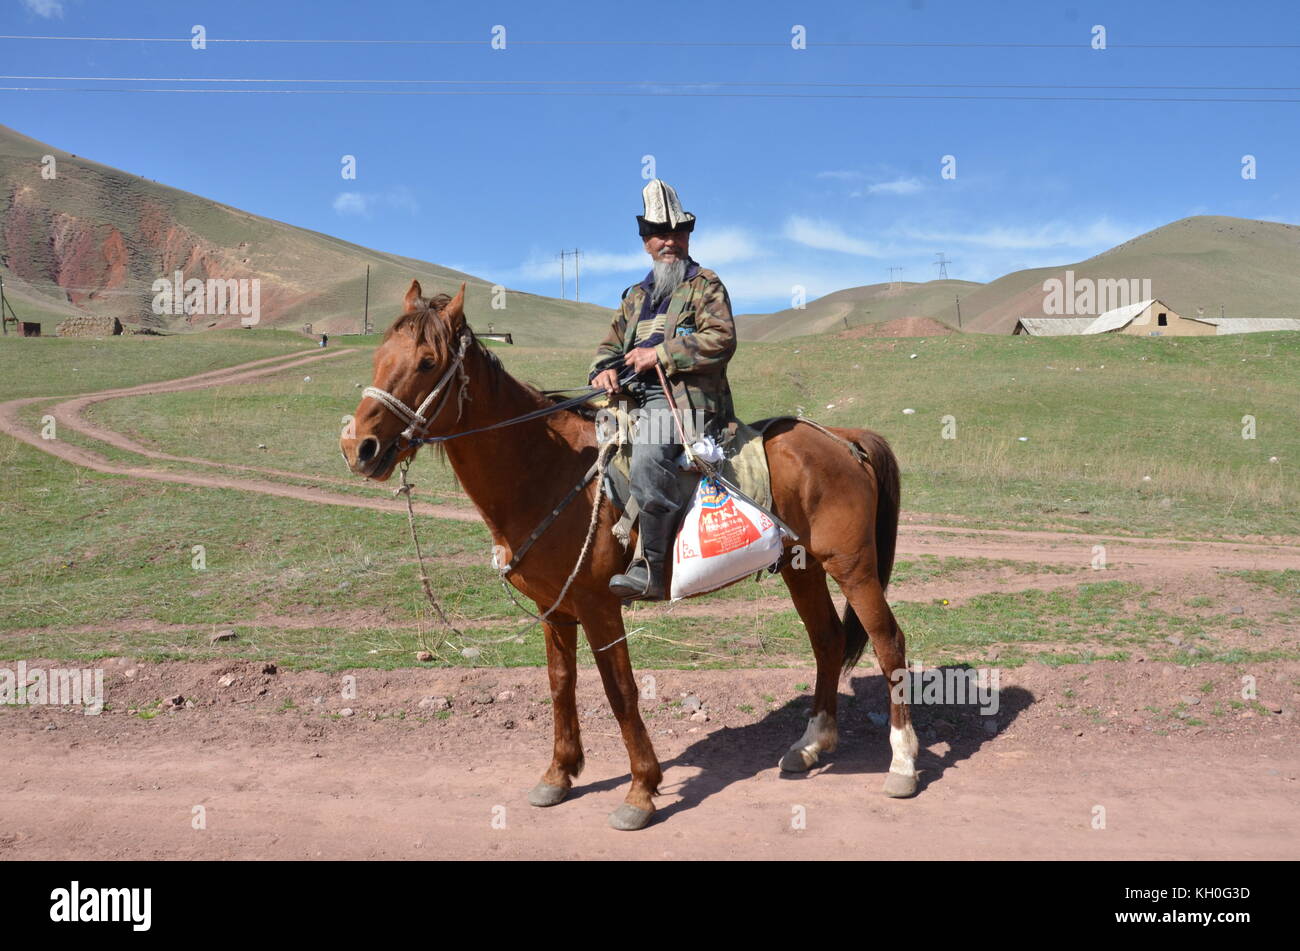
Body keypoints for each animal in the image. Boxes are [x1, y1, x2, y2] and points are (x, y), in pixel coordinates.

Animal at [340, 278, 920, 826]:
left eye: (428, 362)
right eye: (378, 357)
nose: (358, 447)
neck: (545, 470)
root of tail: (844, 439)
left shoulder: (599, 605)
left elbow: (620, 690)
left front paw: (641, 791)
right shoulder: (555, 608)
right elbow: (561, 685)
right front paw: (558, 774)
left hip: (852, 566)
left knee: (888, 642)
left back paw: (902, 764)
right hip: (802, 569)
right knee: (827, 641)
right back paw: (811, 745)